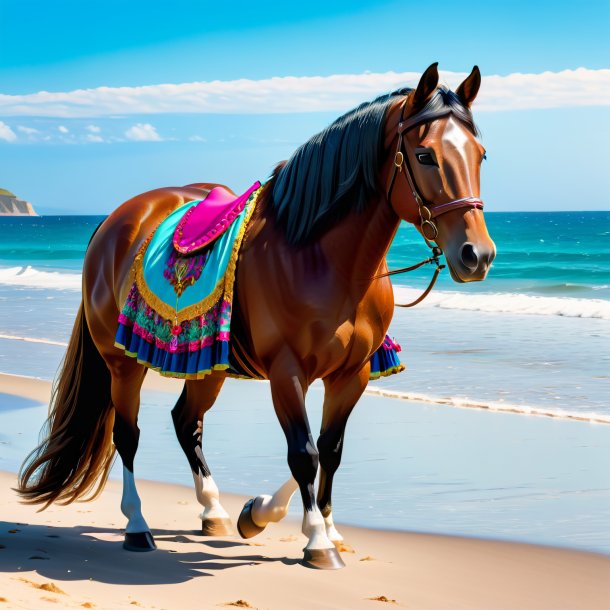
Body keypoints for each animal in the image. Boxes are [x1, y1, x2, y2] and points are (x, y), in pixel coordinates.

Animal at [17, 64, 494, 568]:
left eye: (481, 155)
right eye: (424, 155)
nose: (477, 255)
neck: (322, 257)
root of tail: (114, 221)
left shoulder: (353, 374)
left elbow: (330, 450)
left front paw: (284, 517)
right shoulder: (287, 373)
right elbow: (304, 452)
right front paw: (315, 539)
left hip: (207, 367)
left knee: (186, 422)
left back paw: (213, 512)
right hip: (122, 363)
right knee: (127, 435)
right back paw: (137, 525)